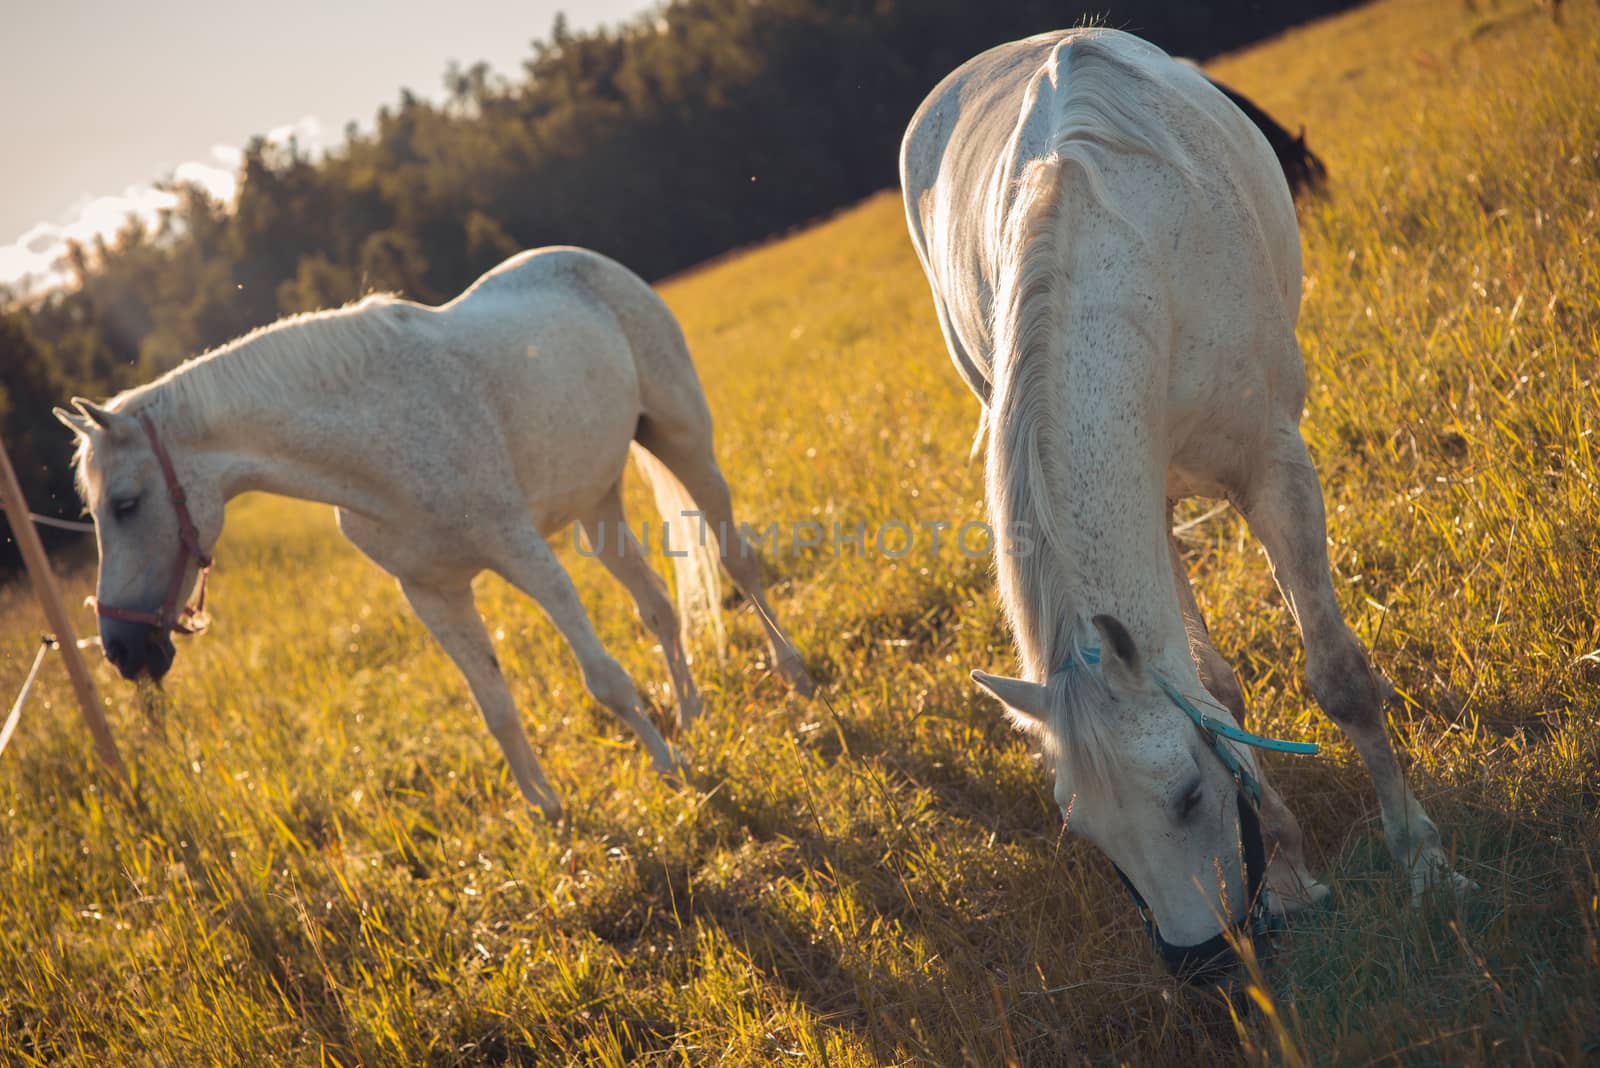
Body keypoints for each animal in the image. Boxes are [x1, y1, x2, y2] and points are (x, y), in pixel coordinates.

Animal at [896, 27, 1465, 978]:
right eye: (1089, 834)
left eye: (1190, 797)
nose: (1204, 967)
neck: (1132, 264)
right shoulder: (1153, 510)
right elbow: (1213, 691)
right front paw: (1291, 878)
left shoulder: (1274, 466)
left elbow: (1341, 680)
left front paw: (1421, 858)